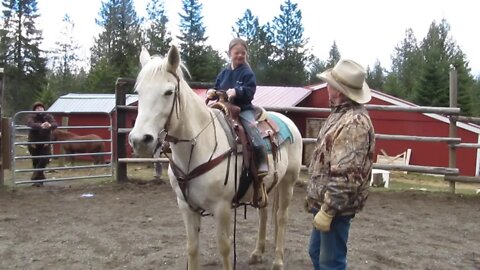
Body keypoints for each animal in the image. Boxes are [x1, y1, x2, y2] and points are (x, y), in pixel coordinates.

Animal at [129, 45, 302, 268]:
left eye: (168, 92)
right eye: (139, 92)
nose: (140, 140)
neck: (198, 147)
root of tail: (287, 121)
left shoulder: (222, 208)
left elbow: (225, 249)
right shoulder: (186, 206)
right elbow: (192, 249)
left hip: (288, 182)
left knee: (281, 217)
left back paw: (278, 261)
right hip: (263, 186)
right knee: (263, 213)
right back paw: (257, 253)